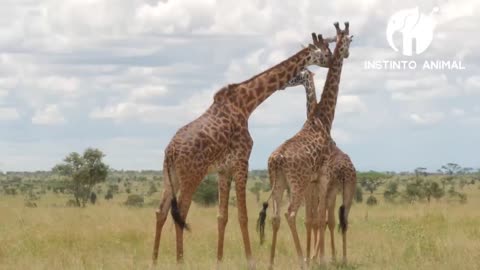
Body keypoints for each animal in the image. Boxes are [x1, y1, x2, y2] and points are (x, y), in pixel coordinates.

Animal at [152, 31, 332, 268]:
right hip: (191, 176)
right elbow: (243, 216)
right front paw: (251, 262)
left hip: (170, 176)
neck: (247, 104)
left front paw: (219, 261)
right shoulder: (241, 161)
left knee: (161, 212)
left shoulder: (223, 169)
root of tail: (170, 153)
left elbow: (223, 217)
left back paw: (153, 261)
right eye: (325, 52)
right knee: (180, 212)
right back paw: (180, 261)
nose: (333, 60)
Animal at [260, 21, 354, 268]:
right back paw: (305, 260)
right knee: (293, 214)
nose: (347, 54)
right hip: (299, 183)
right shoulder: (321, 177)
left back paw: (271, 263)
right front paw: (319, 260)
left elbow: (316, 219)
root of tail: (277, 159)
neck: (322, 117)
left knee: (276, 217)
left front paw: (320, 258)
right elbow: (318, 218)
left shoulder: (317, 181)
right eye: (348, 41)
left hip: (278, 182)